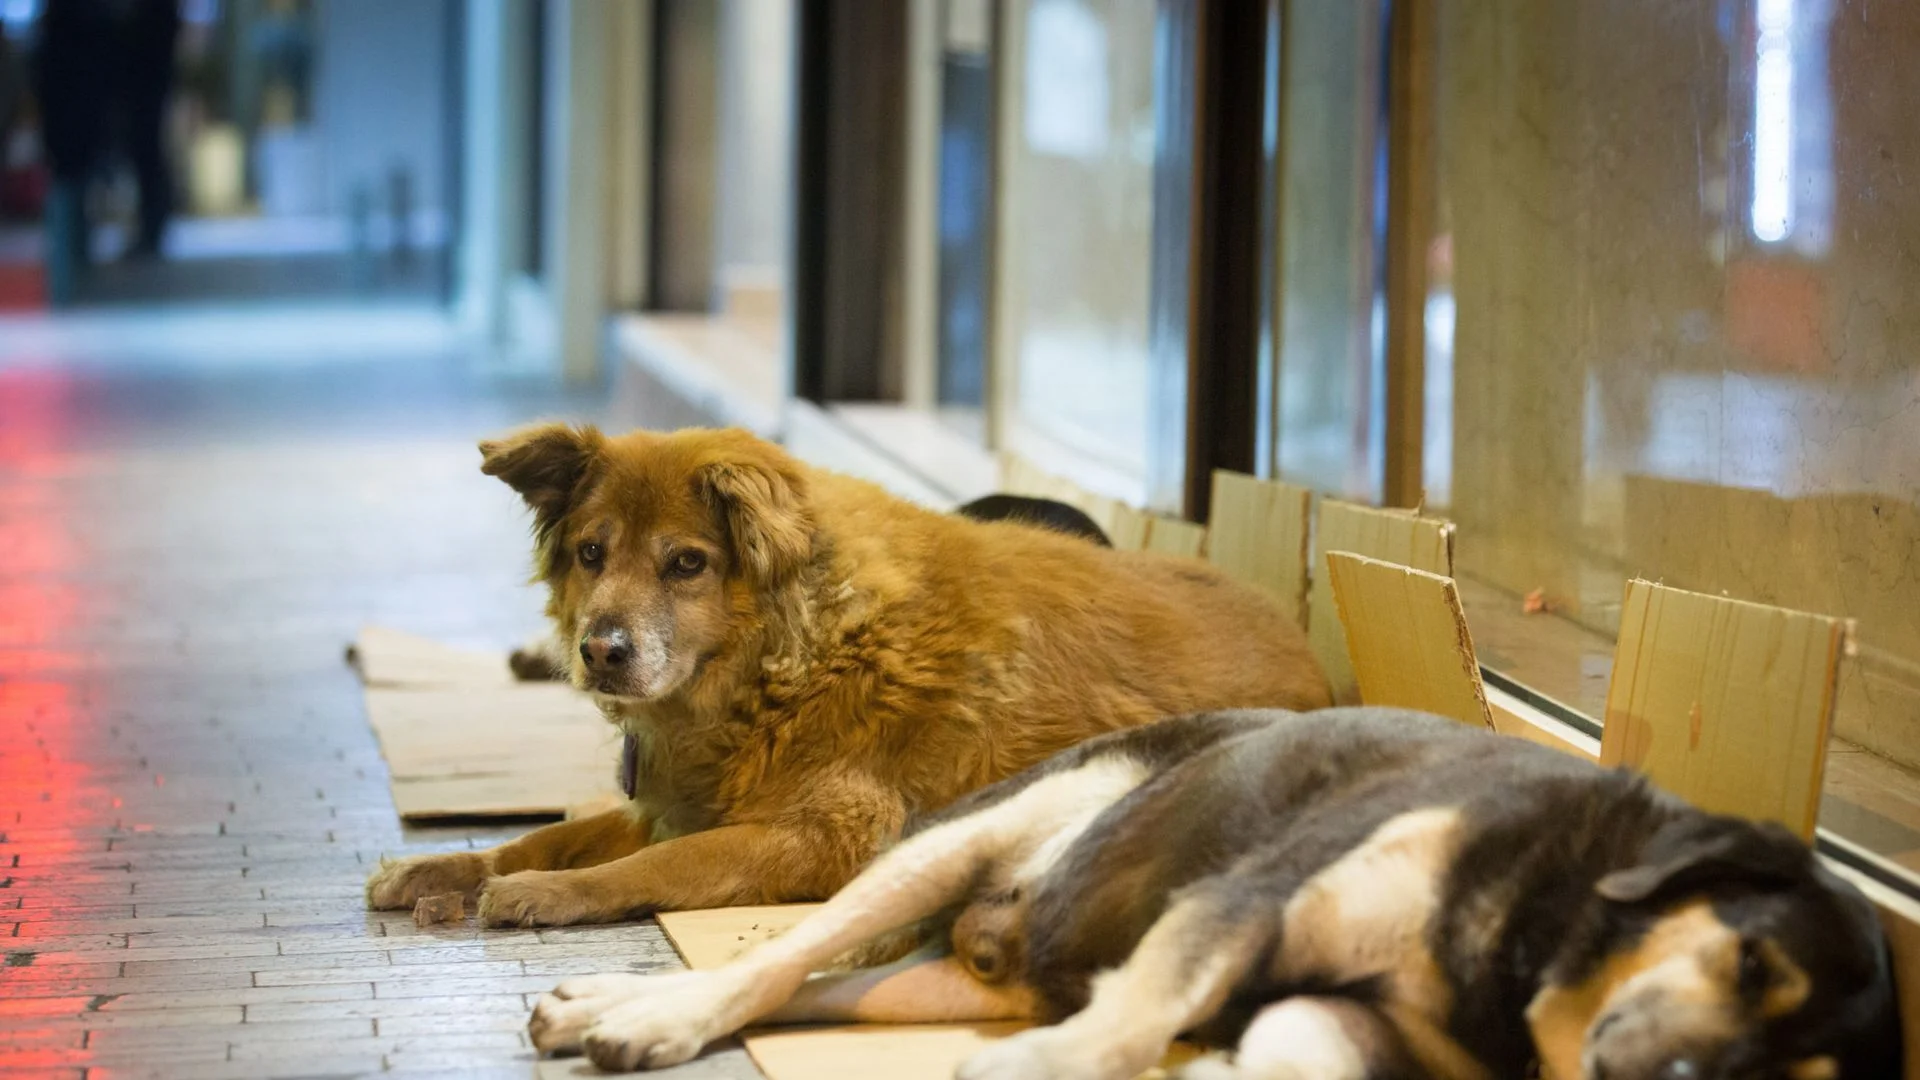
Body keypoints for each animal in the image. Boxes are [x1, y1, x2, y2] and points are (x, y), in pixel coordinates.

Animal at [360, 424, 1328, 922]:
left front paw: (549, 894)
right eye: (592, 554)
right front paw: (443, 870)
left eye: (686, 564)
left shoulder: (824, 837)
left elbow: (653, 868)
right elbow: (548, 835)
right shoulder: (677, 801)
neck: (785, 657)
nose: (601, 651)